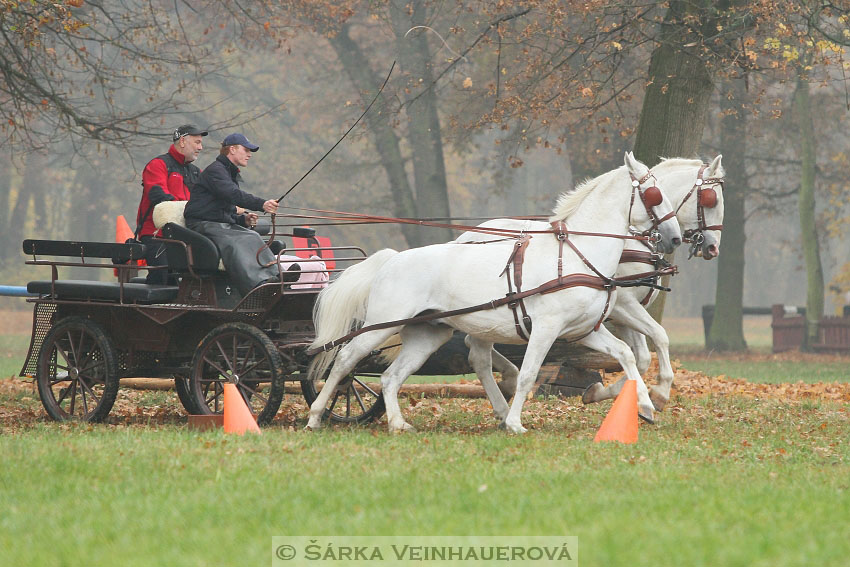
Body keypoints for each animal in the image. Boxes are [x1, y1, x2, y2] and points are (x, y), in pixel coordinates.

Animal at [304, 153, 684, 432]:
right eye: (655, 195)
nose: (675, 238)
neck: (578, 255)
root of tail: (392, 259)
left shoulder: (584, 330)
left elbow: (625, 355)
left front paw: (647, 404)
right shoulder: (546, 328)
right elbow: (529, 373)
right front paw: (515, 423)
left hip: (427, 334)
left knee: (390, 376)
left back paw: (398, 423)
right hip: (380, 326)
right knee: (345, 361)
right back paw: (315, 415)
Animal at [454, 158, 724, 410]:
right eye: (711, 200)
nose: (712, 247)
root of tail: (464, 237)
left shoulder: (622, 313)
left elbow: (641, 357)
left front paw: (603, 392)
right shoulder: (623, 305)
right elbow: (658, 336)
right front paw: (658, 393)